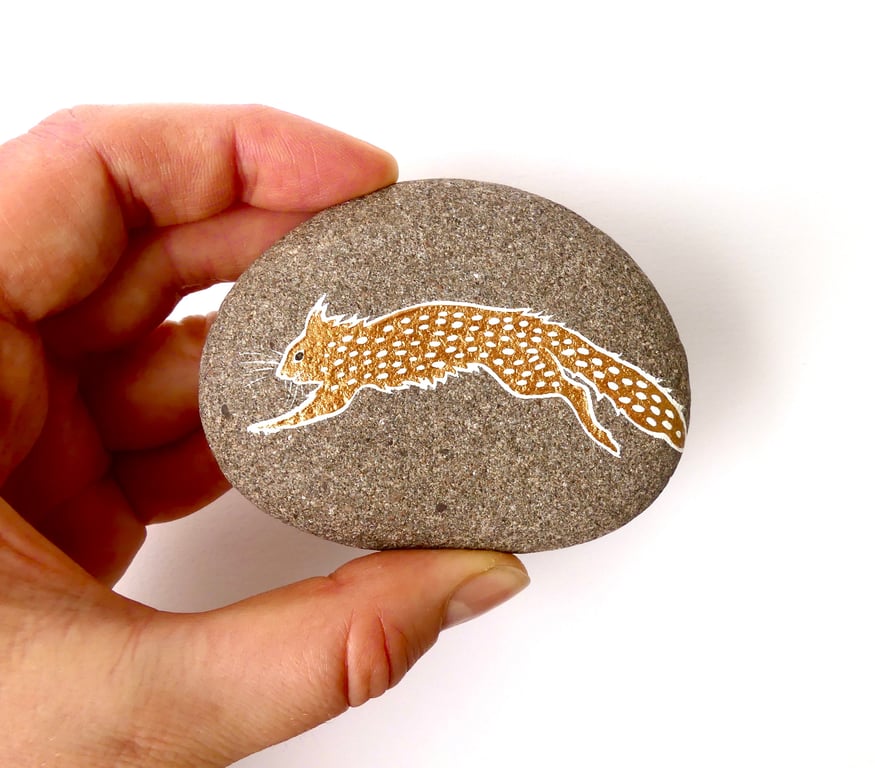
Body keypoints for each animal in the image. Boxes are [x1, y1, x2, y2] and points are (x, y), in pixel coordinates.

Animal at [247, 296, 686, 456]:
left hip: (522, 372)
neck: (343, 346)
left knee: (575, 387)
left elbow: (307, 412)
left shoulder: (341, 387)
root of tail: (528, 324)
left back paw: (601, 435)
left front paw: (263, 426)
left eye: (297, 355)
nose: (279, 370)